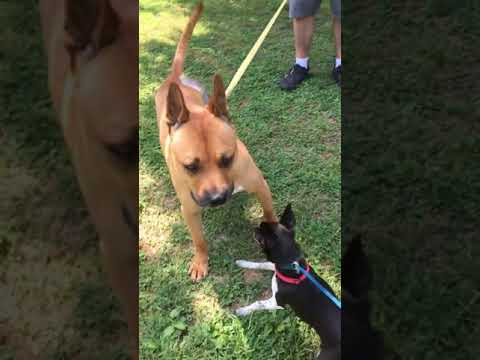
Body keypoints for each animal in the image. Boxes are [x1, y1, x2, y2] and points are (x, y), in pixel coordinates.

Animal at [157, 2, 278, 282]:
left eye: (228, 158)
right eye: (190, 166)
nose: (217, 198)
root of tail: (173, 80)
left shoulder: (260, 185)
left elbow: (269, 213)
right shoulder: (190, 209)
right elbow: (199, 240)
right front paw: (200, 261)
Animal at [234, 205, 384, 360]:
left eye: (261, 236)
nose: (255, 227)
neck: (293, 266)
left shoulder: (277, 302)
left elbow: (258, 303)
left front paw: (242, 310)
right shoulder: (277, 267)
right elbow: (262, 264)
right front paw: (242, 262)